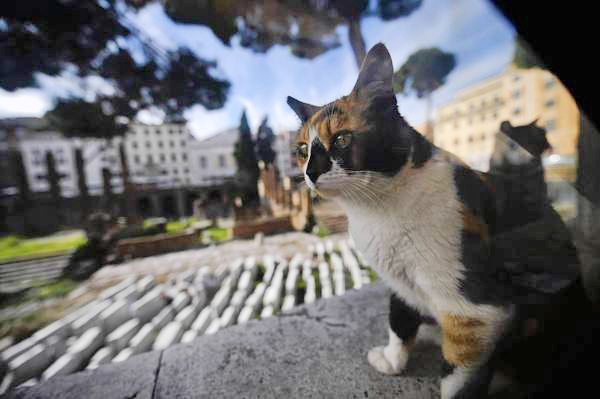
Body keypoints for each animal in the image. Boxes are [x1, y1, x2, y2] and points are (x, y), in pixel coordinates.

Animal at [288, 42, 584, 398]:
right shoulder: (399, 282)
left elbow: (458, 379)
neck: (376, 211)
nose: (309, 172)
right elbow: (398, 319)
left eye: (343, 139)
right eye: (302, 149)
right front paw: (393, 361)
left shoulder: (477, 313)